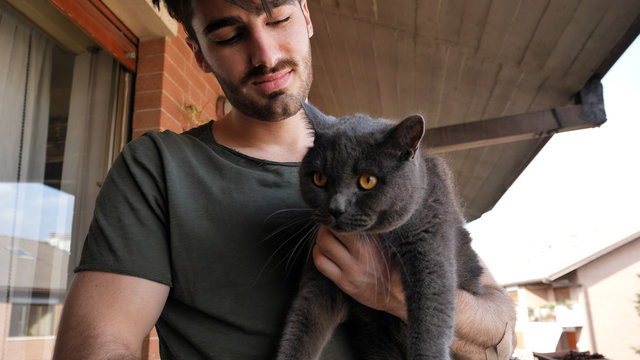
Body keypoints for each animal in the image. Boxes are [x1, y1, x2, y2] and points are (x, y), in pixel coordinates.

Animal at [276, 102, 484, 360]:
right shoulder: (321, 274)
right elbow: (303, 322)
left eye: (368, 180)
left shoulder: (431, 242)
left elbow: (431, 314)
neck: (378, 236)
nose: (336, 208)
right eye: (319, 178)